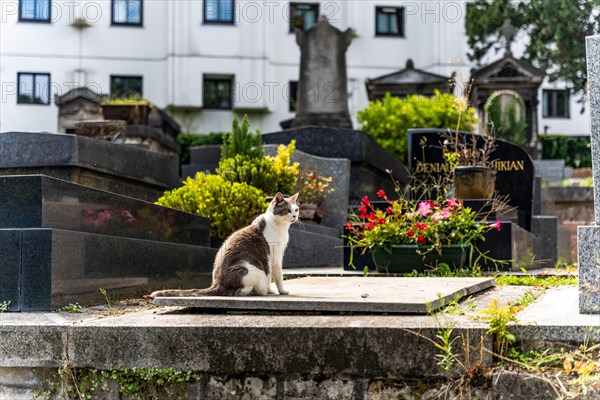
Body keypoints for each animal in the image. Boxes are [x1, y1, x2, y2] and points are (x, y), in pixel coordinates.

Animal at [150, 192, 300, 298]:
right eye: (287, 210)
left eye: (296, 209)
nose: (294, 216)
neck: (281, 228)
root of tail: (216, 283)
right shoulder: (275, 258)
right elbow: (277, 277)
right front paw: (282, 291)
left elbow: (271, 278)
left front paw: (271, 290)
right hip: (250, 269)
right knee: (237, 291)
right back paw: (255, 291)